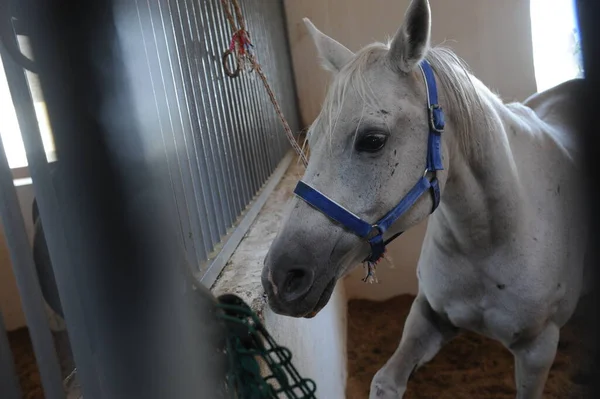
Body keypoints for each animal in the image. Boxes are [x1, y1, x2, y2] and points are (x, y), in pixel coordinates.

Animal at [262, 1, 584, 398]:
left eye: (373, 140)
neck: (492, 237)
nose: (279, 278)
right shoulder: (428, 315)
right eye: (313, 136)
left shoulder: (538, 349)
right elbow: (385, 381)